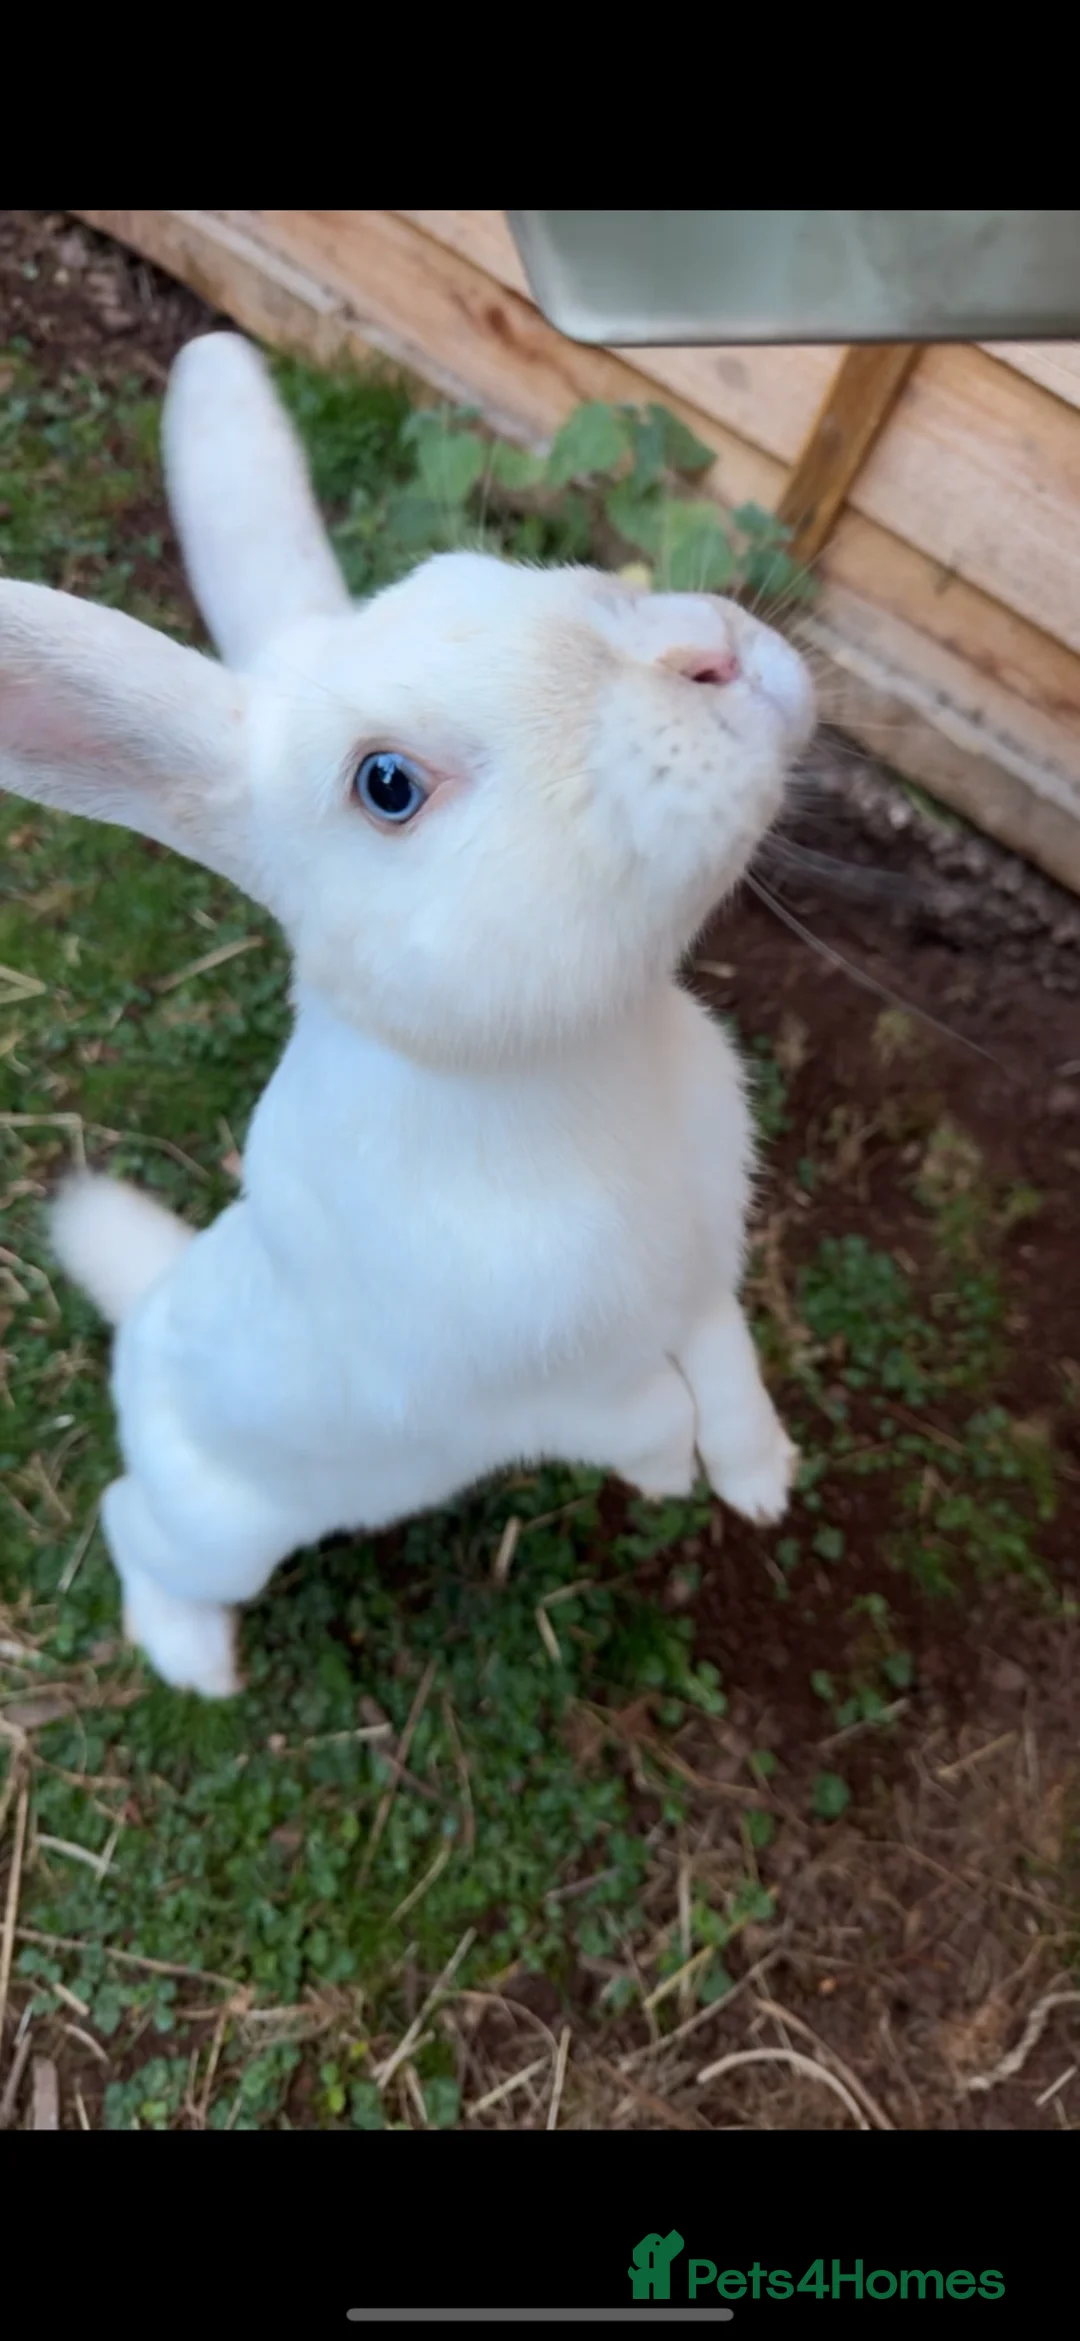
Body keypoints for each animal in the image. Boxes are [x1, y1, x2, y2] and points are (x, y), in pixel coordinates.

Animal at [0, 332, 815, 1700]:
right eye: (387, 786)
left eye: (553, 577)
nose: (710, 651)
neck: (572, 1068)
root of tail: (149, 1316)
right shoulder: (511, 1394)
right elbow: (645, 1410)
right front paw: (668, 1477)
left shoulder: (704, 1277)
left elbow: (730, 1365)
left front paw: (762, 1485)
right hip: (218, 1525)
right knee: (129, 1526)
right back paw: (195, 1661)